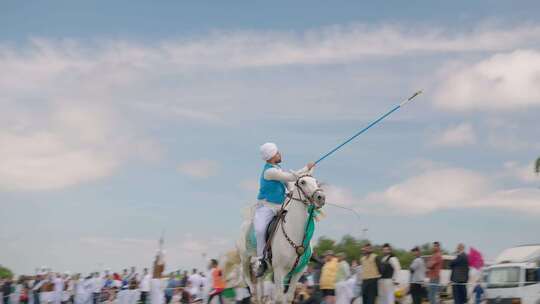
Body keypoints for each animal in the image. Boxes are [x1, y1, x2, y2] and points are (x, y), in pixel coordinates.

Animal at [237, 172, 324, 302]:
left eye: (316, 182)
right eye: (303, 182)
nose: (321, 197)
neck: (294, 232)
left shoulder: (298, 271)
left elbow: (289, 297)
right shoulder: (279, 270)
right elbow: (279, 298)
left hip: (266, 268)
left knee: (261, 283)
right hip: (245, 258)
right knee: (249, 280)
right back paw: (254, 295)